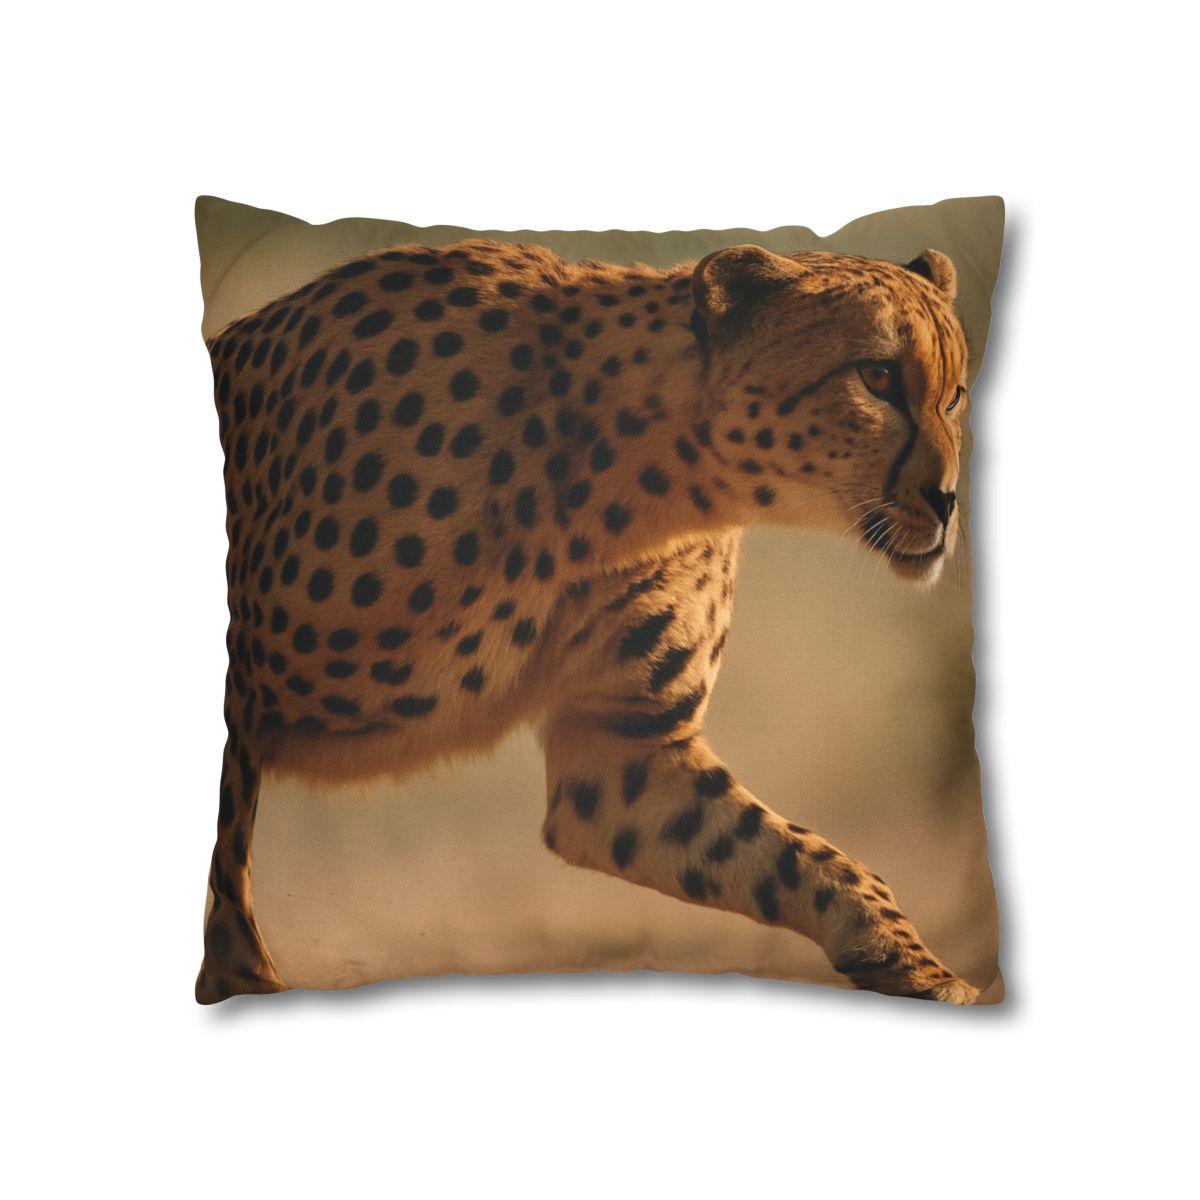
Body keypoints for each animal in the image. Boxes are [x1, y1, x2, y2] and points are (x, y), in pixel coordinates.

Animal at [198, 235, 977, 1005]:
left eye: (956, 395)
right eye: (877, 376)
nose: (948, 501)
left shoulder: (620, 751)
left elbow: (807, 858)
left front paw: (922, 969)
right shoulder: (239, 700)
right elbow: (226, 878)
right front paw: (244, 980)